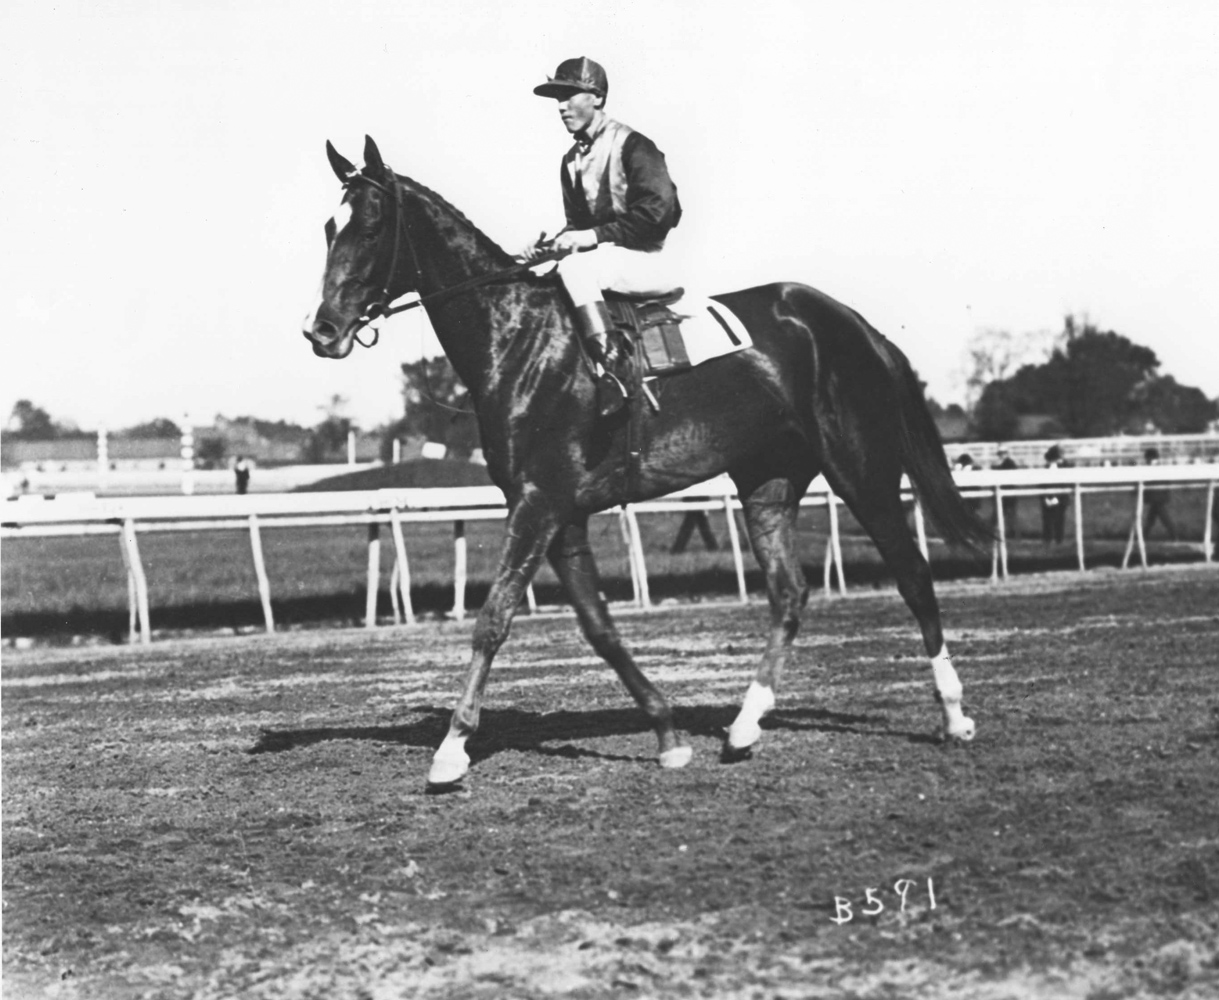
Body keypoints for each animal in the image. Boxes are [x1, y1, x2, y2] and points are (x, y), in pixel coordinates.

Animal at [304, 134, 989, 790]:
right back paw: (743, 727)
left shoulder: (537, 505)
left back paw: (954, 714)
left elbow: (493, 619)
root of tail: (854, 323)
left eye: (370, 227)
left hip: (861, 469)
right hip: (768, 482)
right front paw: (667, 735)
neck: (521, 340)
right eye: (328, 227)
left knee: (913, 576)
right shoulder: (561, 516)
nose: (321, 330)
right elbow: (599, 628)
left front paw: (451, 750)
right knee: (790, 592)